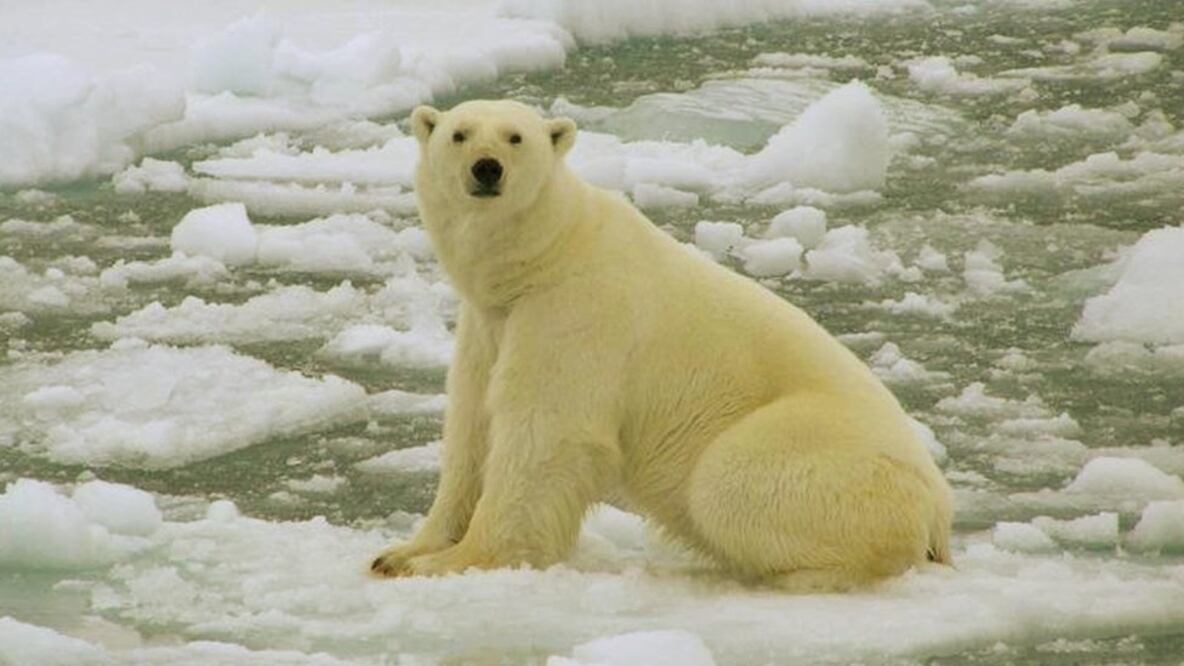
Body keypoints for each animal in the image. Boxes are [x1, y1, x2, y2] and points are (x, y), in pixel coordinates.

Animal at [370, 99, 953, 592]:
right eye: (459, 134)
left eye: (516, 137)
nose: (487, 168)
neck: (546, 256)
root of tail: (940, 510)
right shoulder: (489, 325)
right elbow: (472, 428)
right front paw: (401, 551)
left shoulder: (577, 312)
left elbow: (544, 434)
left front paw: (453, 560)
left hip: (828, 455)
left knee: (727, 481)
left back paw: (796, 573)